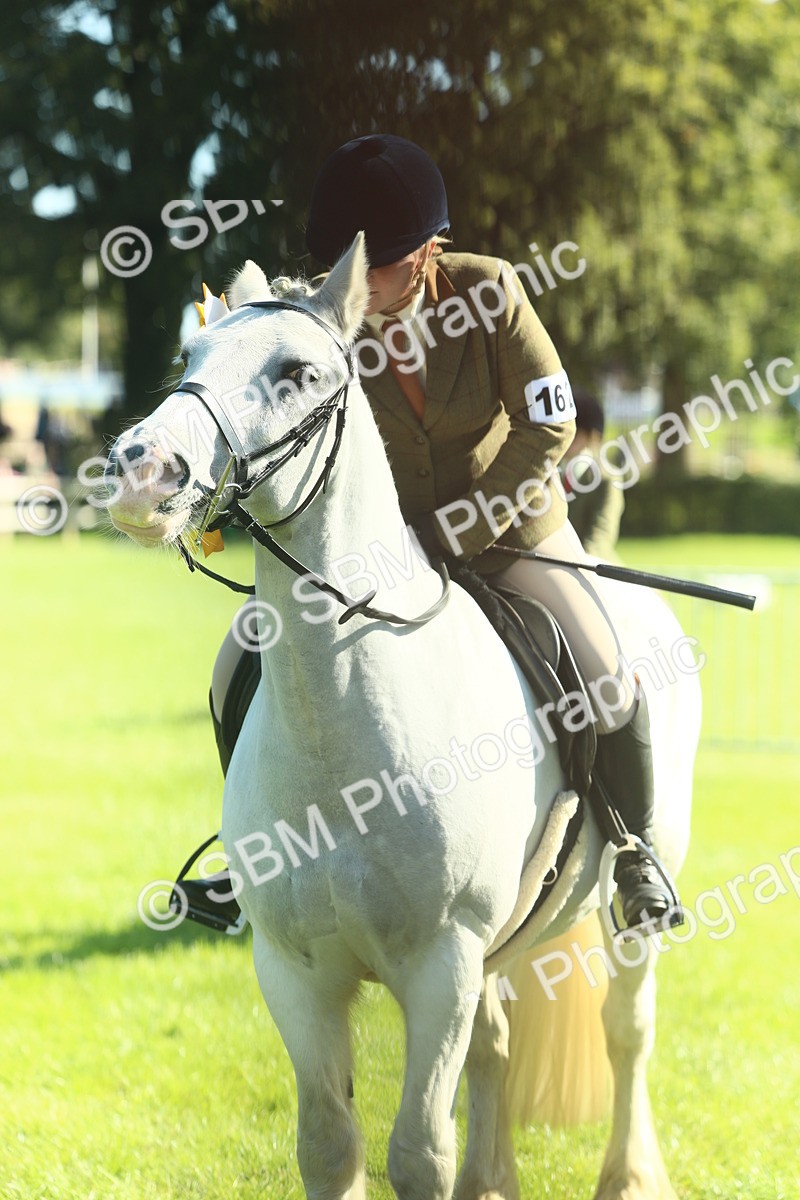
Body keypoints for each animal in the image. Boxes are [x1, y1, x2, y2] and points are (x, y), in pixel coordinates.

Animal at [106, 233, 700, 1200]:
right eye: (189, 358)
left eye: (298, 373)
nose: (139, 472)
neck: (342, 722)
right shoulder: (296, 973)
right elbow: (329, 1144)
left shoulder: (439, 965)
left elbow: (419, 1151)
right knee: (496, 1047)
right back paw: (497, 1177)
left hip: (623, 916)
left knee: (627, 1032)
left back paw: (628, 1174)